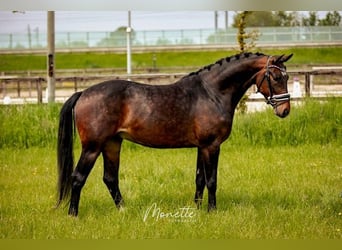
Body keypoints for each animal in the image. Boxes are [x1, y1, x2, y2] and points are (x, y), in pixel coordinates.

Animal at [57, 51, 292, 216]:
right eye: (275, 76)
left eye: (287, 76)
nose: (285, 110)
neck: (212, 93)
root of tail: (83, 93)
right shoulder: (211, 145)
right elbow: (211, 180)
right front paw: (212, 211)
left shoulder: (201, 147)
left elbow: (199, 179)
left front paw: (197, 209)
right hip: (92, 147)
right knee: (78, 177)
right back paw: (73, 215)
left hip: (112, 144)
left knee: (110, 178)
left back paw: (124, 210)